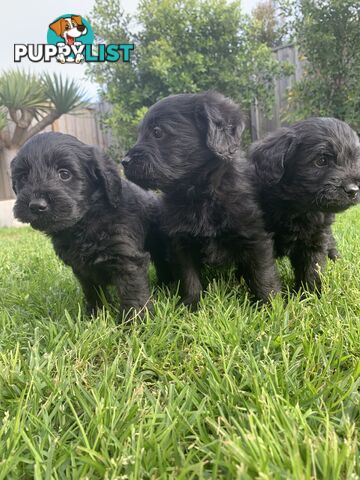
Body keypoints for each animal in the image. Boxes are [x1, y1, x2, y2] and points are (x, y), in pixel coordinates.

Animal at [9, 133, 170, 316]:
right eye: (23, 177)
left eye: (64, 174)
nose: (36, 205)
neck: (85, 221)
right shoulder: (82, 268)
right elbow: (92, 291)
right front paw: (96, 314)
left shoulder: (126, 258)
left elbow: (132, 291)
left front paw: (135, 320)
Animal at [122, 92, 280, 306]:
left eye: (157, 132)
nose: (124, 162)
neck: (200, 194)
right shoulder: (179, 243)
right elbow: (189, 278)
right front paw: (192, 306)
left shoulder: (255, 235)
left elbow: (262, 273)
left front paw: (270, 305)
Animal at [250, 118, 360, 294]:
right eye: (321, 161)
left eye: (354, 160)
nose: (354, 190)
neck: (298, 208)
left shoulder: (315, 239)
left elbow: (312, 268)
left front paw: (310, 295)